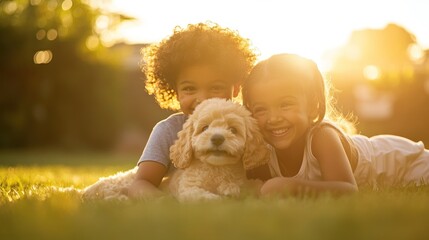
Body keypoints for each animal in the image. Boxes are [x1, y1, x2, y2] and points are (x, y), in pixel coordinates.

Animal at [82, 98, 270, 202]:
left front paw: (230, 188)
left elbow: (244, 186)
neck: (216, 168)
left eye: (233, 130)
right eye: (205, 128)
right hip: (121, 184)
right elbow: (202, 196)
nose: (217, 138)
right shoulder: (188, 189)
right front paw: (217, 198)